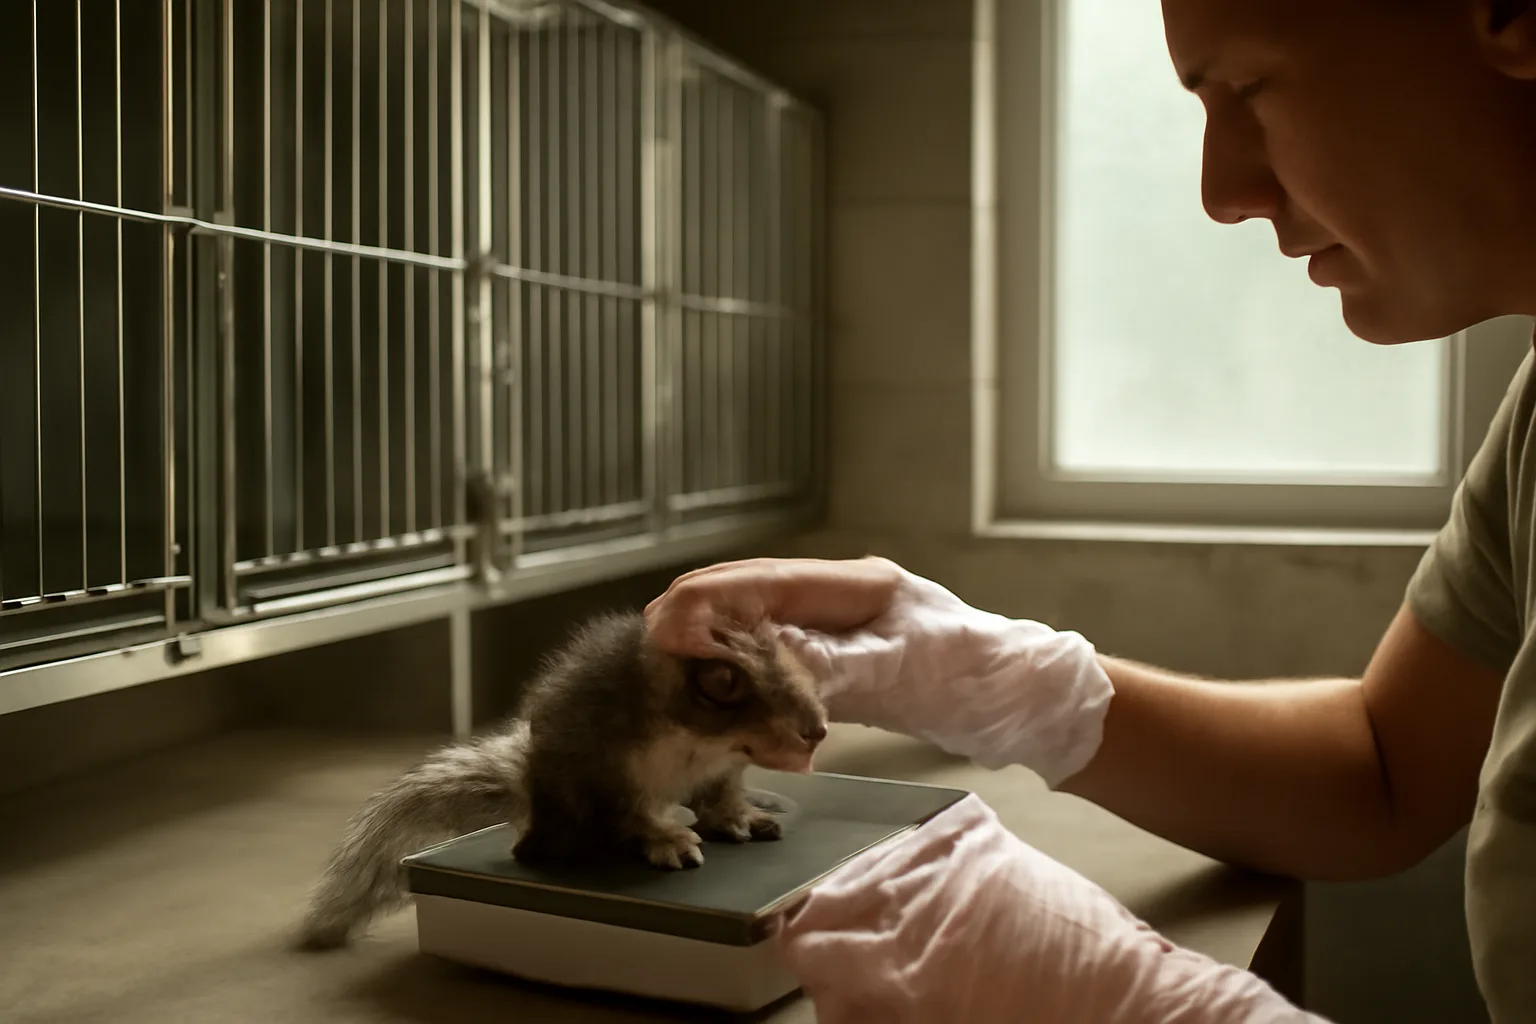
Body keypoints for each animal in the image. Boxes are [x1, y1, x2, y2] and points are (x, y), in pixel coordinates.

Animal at [296, 608, 829, 950]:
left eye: (792, 655)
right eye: (724, 681)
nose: (818, 728)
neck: (699, 745)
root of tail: (530, 796)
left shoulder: (721, 771)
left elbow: (722, 795)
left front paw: (741, 815)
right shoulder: (606, 767)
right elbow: (634, 816)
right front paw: (669, 840)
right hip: (566, 790)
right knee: (567, 834)